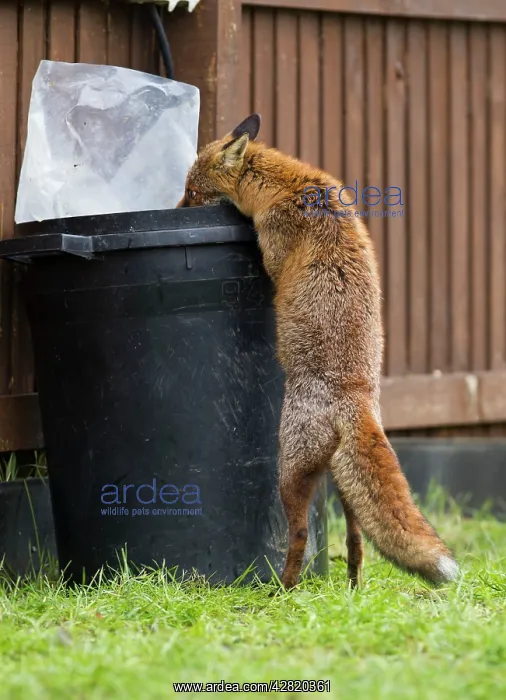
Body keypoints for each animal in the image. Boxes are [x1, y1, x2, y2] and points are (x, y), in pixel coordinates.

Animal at [177, 113, 459, 590]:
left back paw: (285, 590)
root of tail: (356, 397)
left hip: (289, 468)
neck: (289, 184)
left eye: (193, 193)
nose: (174, 209)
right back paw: (352, 588)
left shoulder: (273, 247)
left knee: (300, 533)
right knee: (357, 540)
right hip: (344, 486)